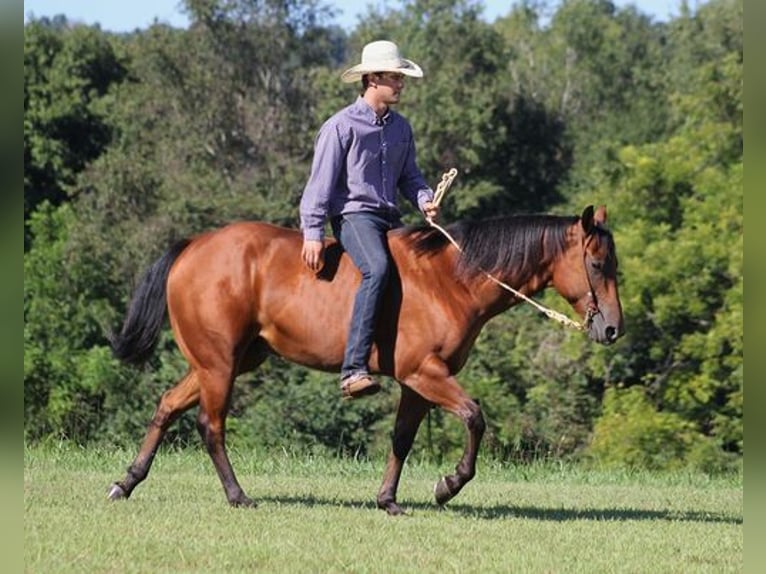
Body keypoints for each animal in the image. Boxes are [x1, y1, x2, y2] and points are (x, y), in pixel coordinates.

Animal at [107, 205, 624, 515]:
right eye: (598, 264)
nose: (613, 329)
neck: (450, 280)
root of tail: (193, 247)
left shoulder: (417, 383)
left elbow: (401, 439)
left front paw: (388, 500)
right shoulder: (425, 373)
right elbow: (475, 418)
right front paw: (449, 484)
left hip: (223, 362)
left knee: (167, 406)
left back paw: (127, 482)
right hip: (219, 365)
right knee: (209, 426)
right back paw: (237, 495)